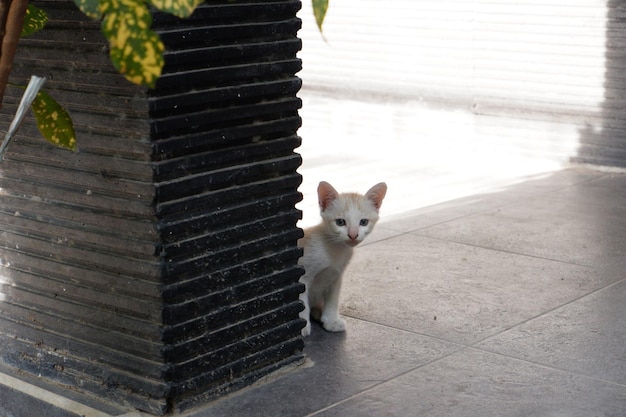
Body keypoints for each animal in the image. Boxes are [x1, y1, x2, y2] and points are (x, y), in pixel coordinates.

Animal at [296, 180, 386, 336]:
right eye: (340, 222)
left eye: (363, 222)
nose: (353, 235)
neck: (334, 249)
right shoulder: (303, 276)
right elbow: (302, 302)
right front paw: (302, 326)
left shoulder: (336, 275)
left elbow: (333, 299)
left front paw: (331, 320)